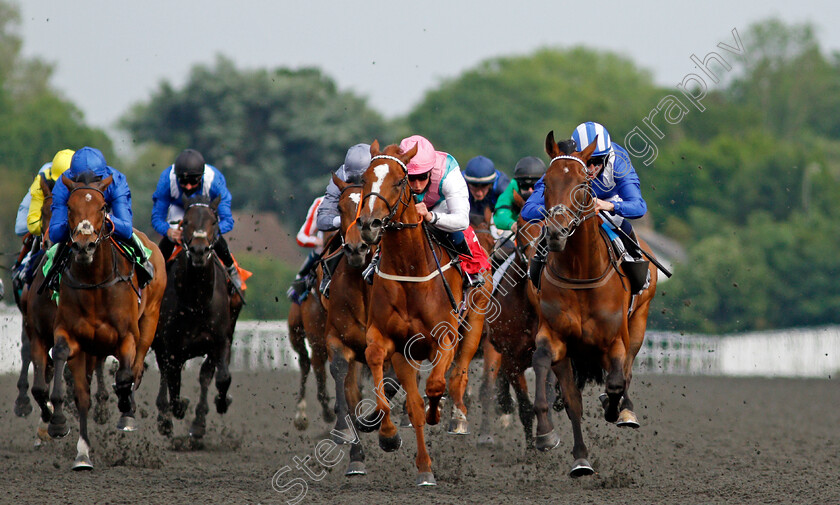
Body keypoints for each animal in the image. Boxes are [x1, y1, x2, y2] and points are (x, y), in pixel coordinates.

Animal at [42, 173, 166, 468]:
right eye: (70, 208)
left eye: (102, 207)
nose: (83, 245)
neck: (94, 283)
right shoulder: (71, 335)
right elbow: (67, 369)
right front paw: (60, 425)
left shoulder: (127, 336)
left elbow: (125, 375)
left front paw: (126, 409)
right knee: (85, 391)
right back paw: (83, 452)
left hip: (150, 319)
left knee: (136, 368)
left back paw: (127, 409)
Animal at [153, 193, 243, 438]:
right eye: (185, 222)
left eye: (214, 222)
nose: (199, 251)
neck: (196, 301)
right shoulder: (172, 347)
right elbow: (173, 383)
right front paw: (178, 409)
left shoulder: (219, 342)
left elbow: (220, 377)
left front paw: (215, 408)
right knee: (165, 375)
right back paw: (164, 417)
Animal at [356, 141, 492, 484]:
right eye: (364, 179)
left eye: (398, 181)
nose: (368, 224)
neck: (410, 268)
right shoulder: (390, 341)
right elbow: (383, 368)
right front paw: (389, 436)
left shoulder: (444, 336)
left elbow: (435, 386)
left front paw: (439, 413)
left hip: (474, 324)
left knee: (457, 375)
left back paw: (456, 416)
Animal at [536, 131, 660, 476]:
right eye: (546, 182)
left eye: (583, 184)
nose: (557, 233)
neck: (581, 272)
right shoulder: (556, 338)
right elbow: (559, 385)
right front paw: (553, 439)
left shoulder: (615, 339)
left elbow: (617, 381)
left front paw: (615, 408)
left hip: (639, 323)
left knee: (626, 371)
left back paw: (624, 410)